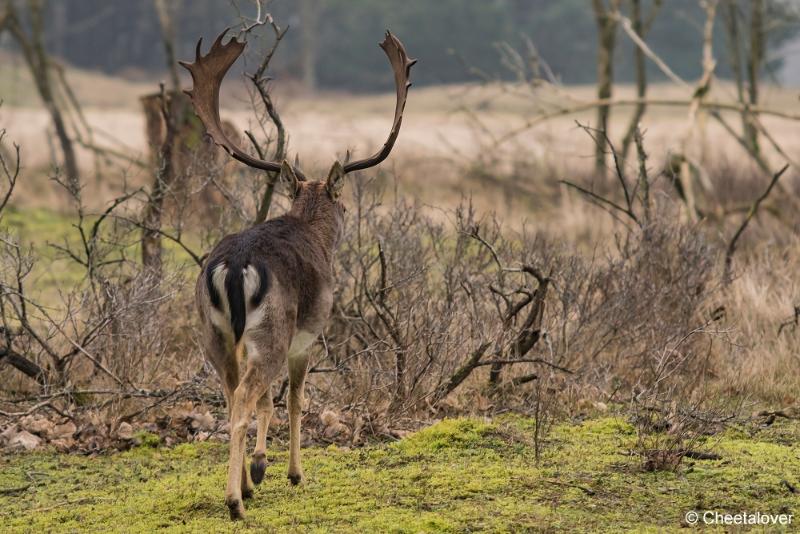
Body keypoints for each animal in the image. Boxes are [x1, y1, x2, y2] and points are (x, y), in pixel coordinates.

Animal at [179, 28, 416, 520]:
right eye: (343, 204)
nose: (346, 217)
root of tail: (234, 266)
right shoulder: (309, 335)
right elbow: (294, 400)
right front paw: (289, 472)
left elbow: (271, 402)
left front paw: (258, 470)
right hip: (273, 330)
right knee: (245, 400)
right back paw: (235, 502)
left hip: (214, 334)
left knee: (233, 395)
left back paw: (241, 489)